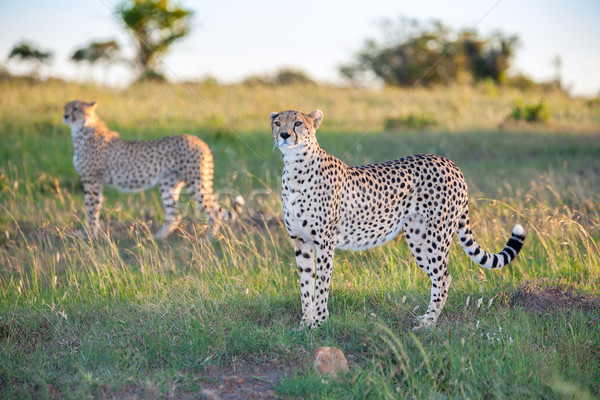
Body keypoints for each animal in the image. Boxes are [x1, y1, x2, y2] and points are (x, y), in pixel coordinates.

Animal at [63, 100, 244, 239]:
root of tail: (200, 141)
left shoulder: (92, 181)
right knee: (174, 213)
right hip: (168, 183)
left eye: (75, 108)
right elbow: (93, 208)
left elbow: (91, 209)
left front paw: (88, 235)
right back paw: (157, 238)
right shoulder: (93, 181)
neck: (82, 129)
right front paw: (90, 233)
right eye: (65, 107)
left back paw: (209, 238)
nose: (65, 116)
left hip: (195, 183)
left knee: (213, 211)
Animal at [272, 110, 524, 332]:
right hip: (417, 239)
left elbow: (321, 285)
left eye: (298, 123)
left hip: (437, 237)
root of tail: (449, 162)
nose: (284, 135)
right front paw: (305, 324)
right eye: (277, 123)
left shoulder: (325, 243)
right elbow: (306, 286)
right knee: (442, 277)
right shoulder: (301, 242)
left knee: (442, 278)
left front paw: (319, 322)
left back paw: (428, 324)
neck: (295, 167)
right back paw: (427, 317)